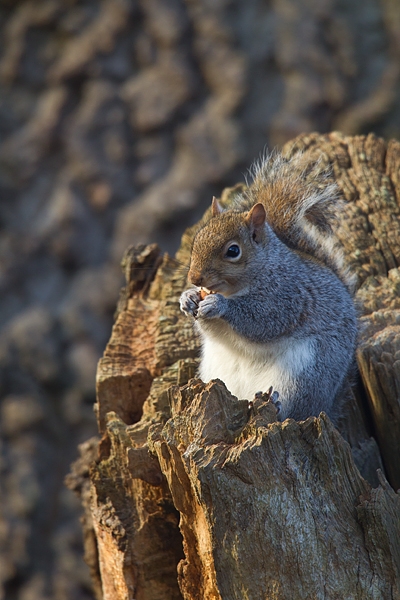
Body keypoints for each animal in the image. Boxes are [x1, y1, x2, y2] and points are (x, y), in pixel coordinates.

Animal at [180, 150, 358, 424]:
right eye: (197, 239)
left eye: (233, 251)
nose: (195, 277)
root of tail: (327, 406)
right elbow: (213, 331)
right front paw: (187, 298)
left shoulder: (288, 294)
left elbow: (263, 320)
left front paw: (220, 305)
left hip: (304, 376)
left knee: (294, 411)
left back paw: (275, 404)